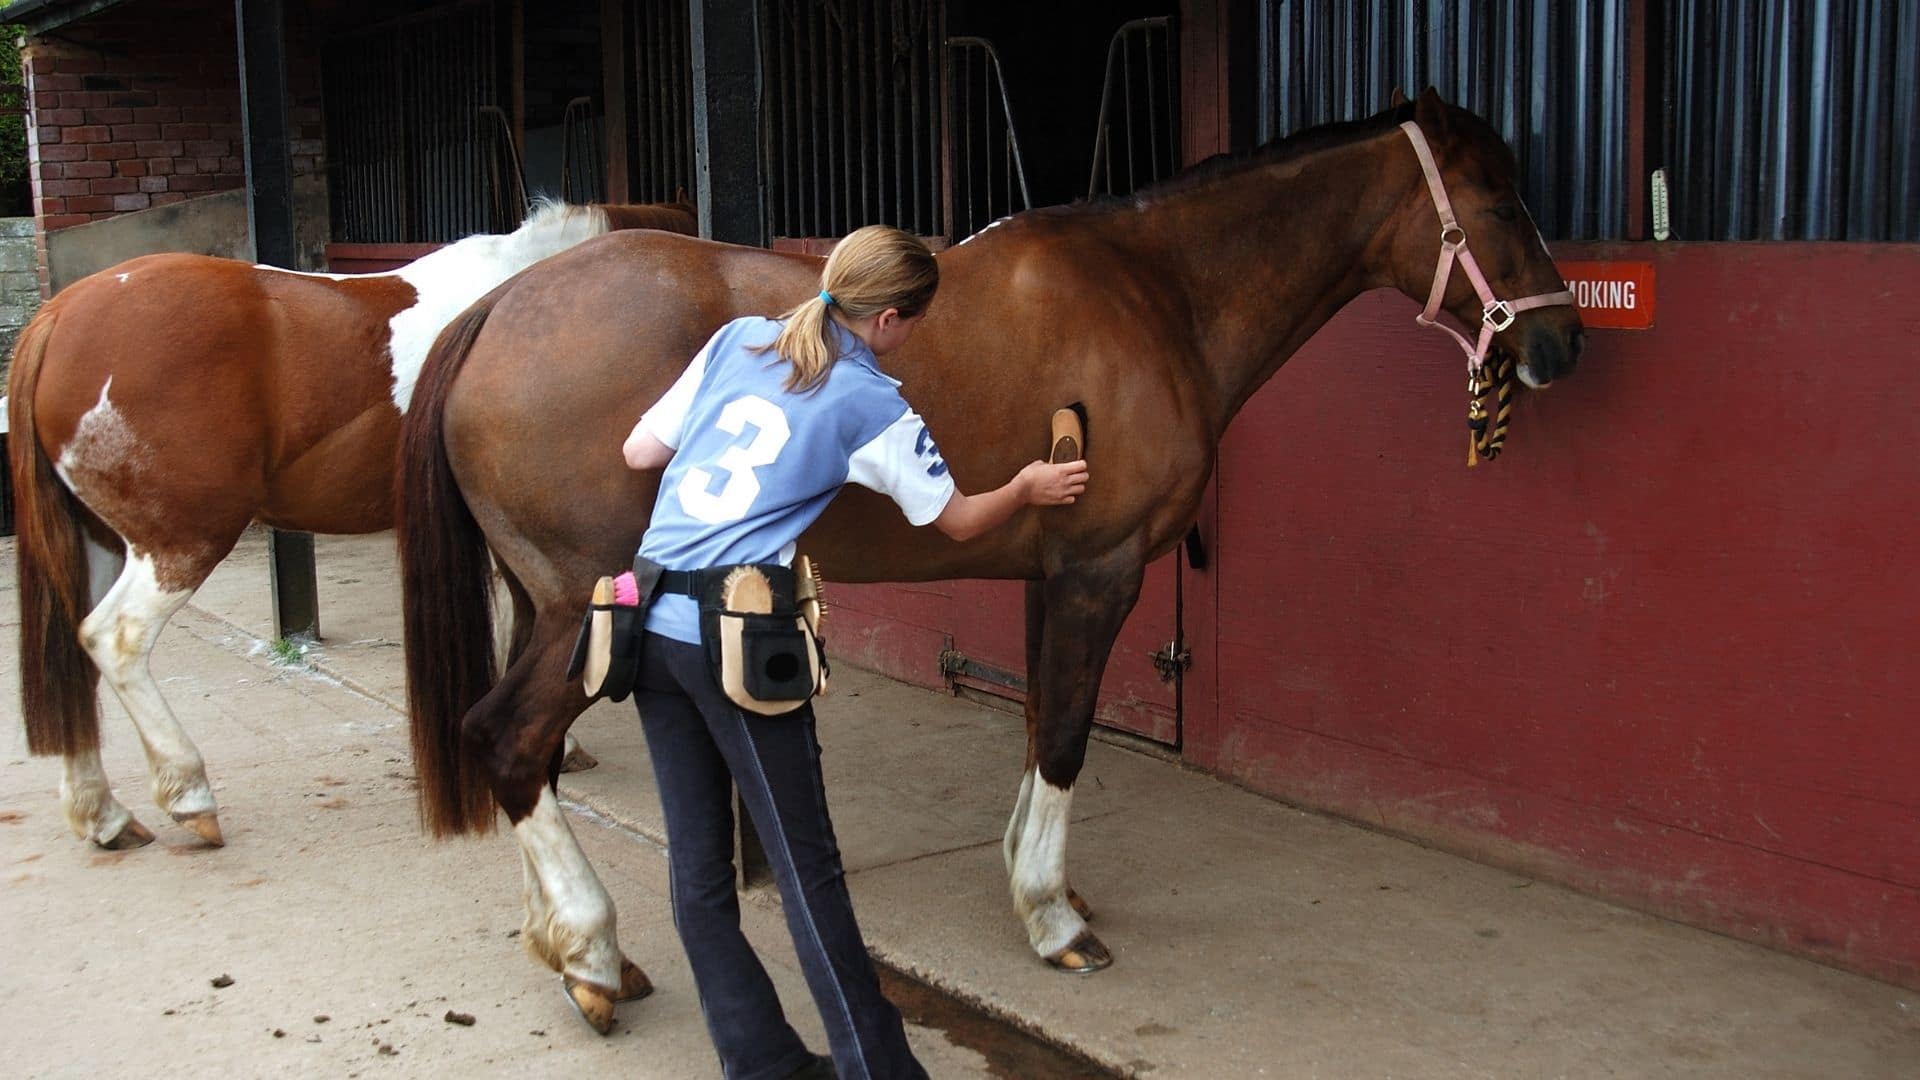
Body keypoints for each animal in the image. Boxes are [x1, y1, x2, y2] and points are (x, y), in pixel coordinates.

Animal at [7, 195, 698, 849]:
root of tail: (59, 314)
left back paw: (102, 814)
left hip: (99, 542)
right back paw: (189, 795)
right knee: (114, 638)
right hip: (180, 543)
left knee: (73, 651)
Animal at [397, 90, 1582, 1022]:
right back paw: (594, 953)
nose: (1563, 342)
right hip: (590, 611)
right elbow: (1063, 736)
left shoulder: (1050, 576)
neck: (1158, 292)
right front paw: (1054, 920)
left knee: (532, 759)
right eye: (1500, 202)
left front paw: (1031, 875)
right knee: (506, 741)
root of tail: (500, 306)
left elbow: (1038, 723)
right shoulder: (1101, 571)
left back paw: (562, 943)